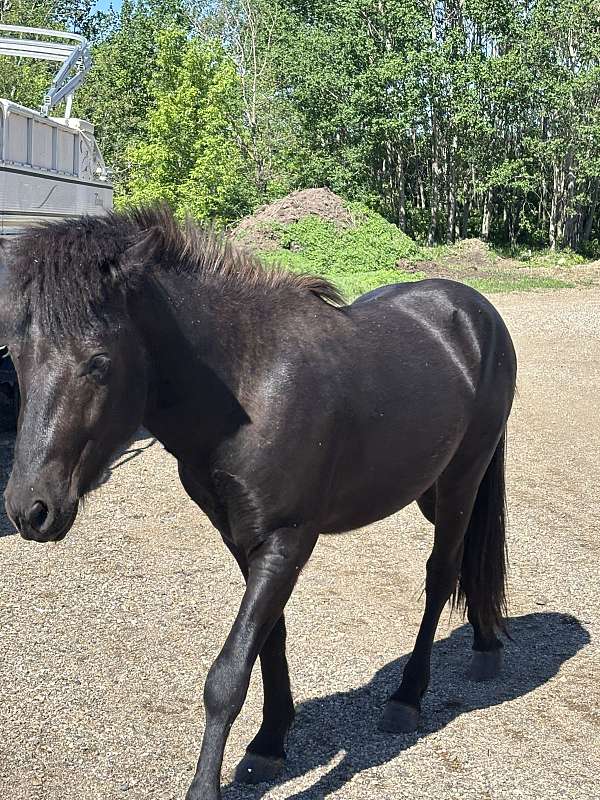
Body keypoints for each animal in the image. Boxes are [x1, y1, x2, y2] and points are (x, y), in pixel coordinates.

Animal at [1, 205, 517, 800]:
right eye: (18, 356)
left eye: (98, 362)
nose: (29, 509)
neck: (253, 386)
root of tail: (477, 312)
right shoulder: (242, 537)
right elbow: (269, 638)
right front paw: (269, 744)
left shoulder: (287, 539)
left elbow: (227, 674)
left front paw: (206, 786)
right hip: (429, 488)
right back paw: (485, 643)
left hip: (461, 478)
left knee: (441, 574)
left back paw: (408, 697)